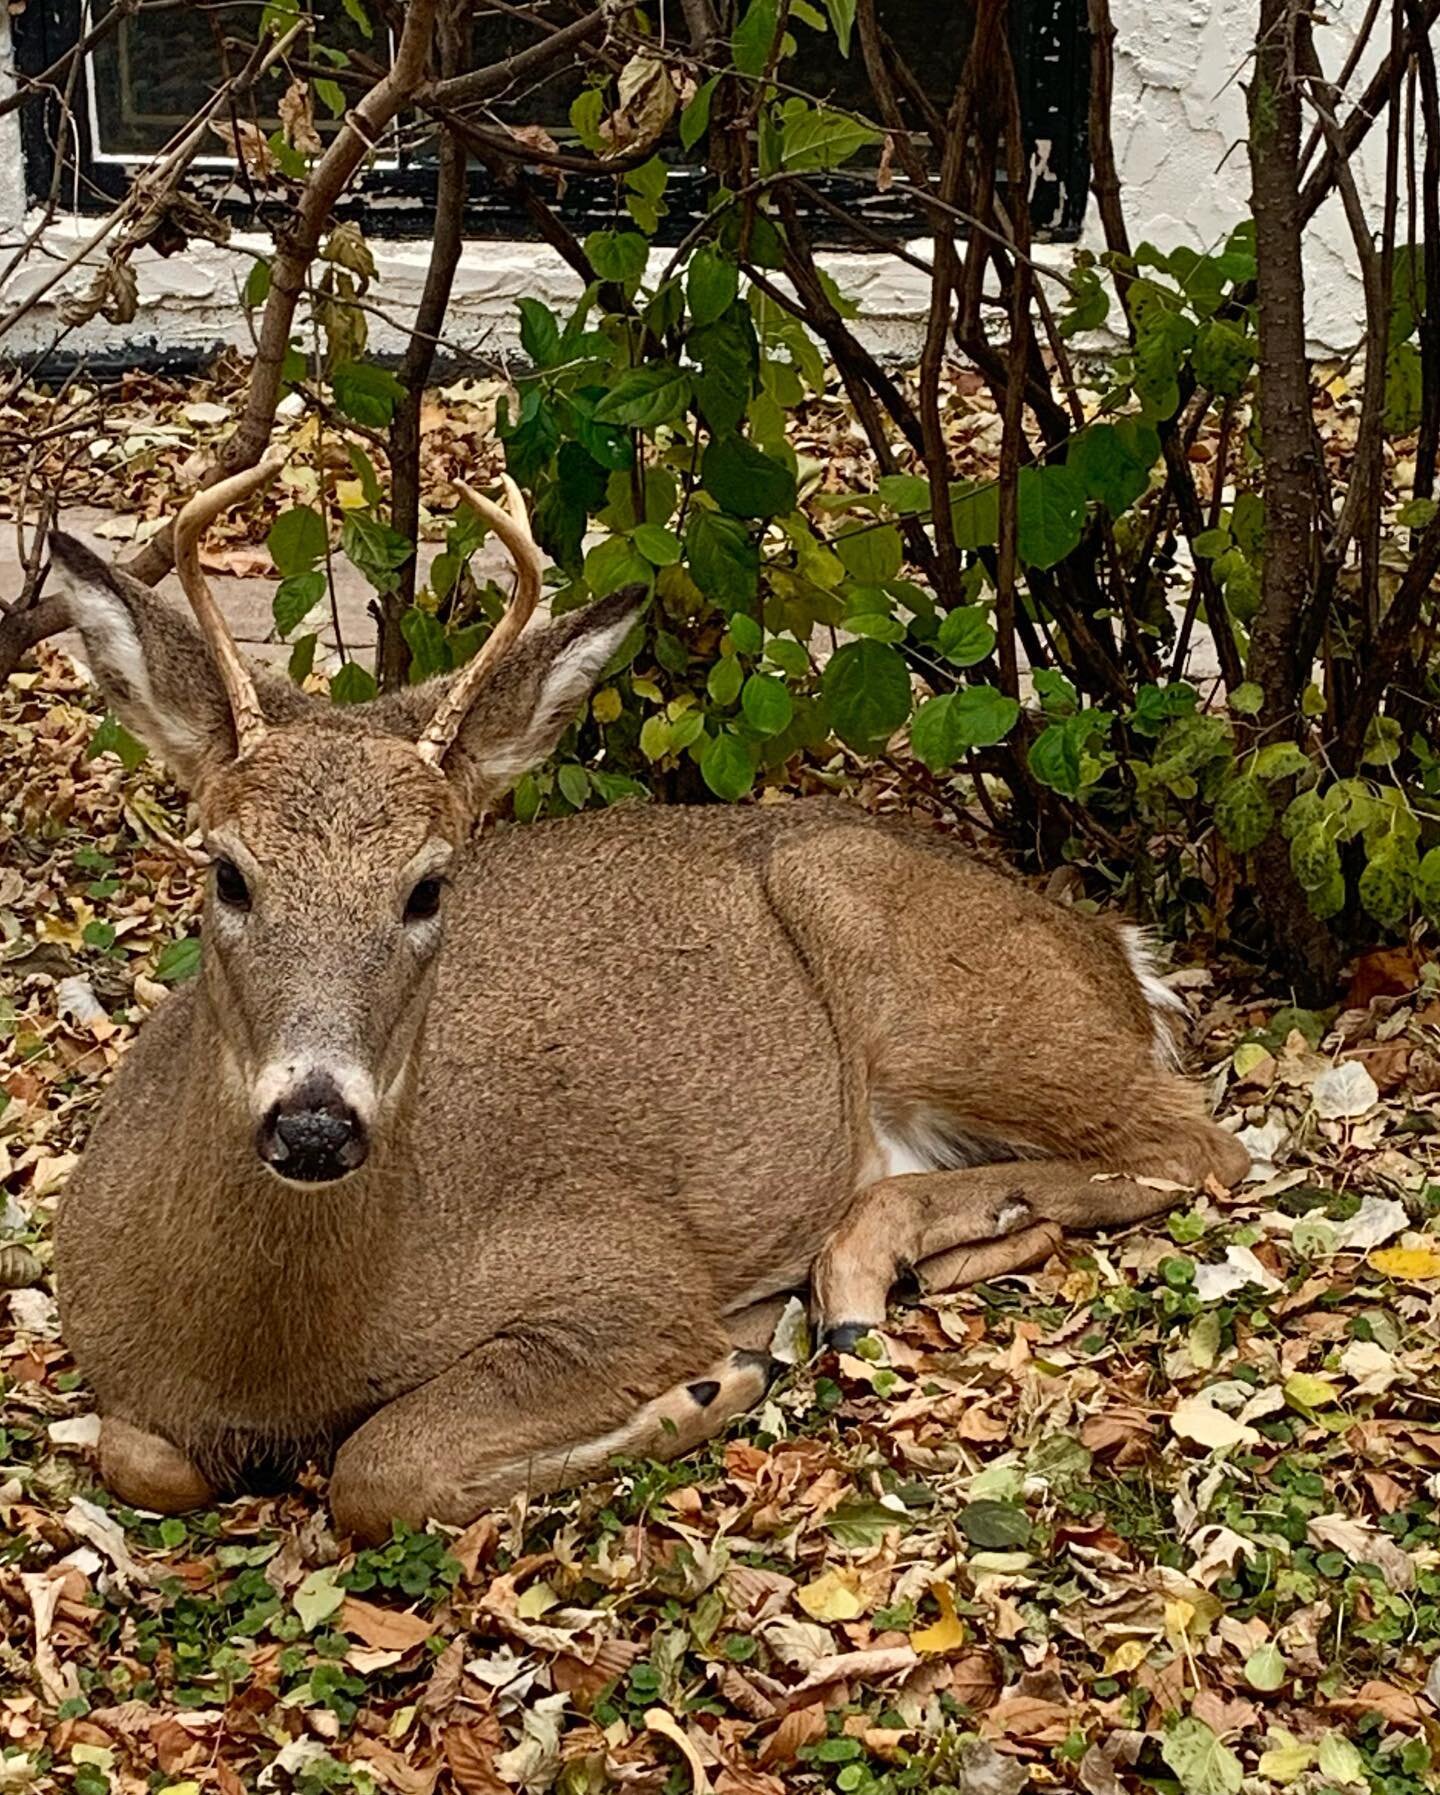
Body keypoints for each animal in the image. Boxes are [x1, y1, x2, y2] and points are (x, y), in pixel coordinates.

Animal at [47, 459, 1242, 1543]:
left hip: (909, 964)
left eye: (430, 885)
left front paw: (709, 1387)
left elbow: (383, 1465)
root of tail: (1111, 945)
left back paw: (855, 1272)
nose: (313, 1122)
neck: (266, 1357)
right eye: (226, 870)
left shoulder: (626, 1269)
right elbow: (141, 1457)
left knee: (1197, 1146)